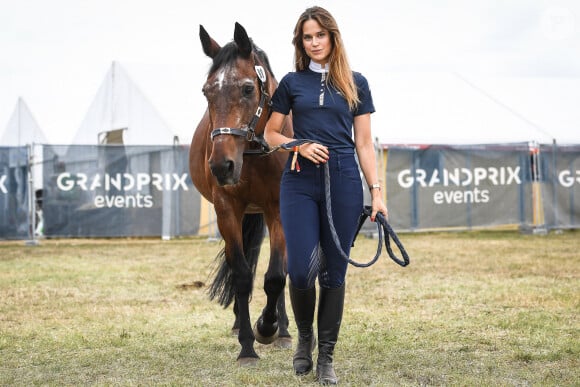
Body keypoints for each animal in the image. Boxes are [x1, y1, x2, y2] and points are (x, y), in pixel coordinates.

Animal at [189, 22, 292, 366]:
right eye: (207, 91)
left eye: (248, 89)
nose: (222, 166)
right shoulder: (227, 211)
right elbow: (242, 275)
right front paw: (247, 344)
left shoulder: (279, 210)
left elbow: (275, 276)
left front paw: (268, 327)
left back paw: (284, 331)